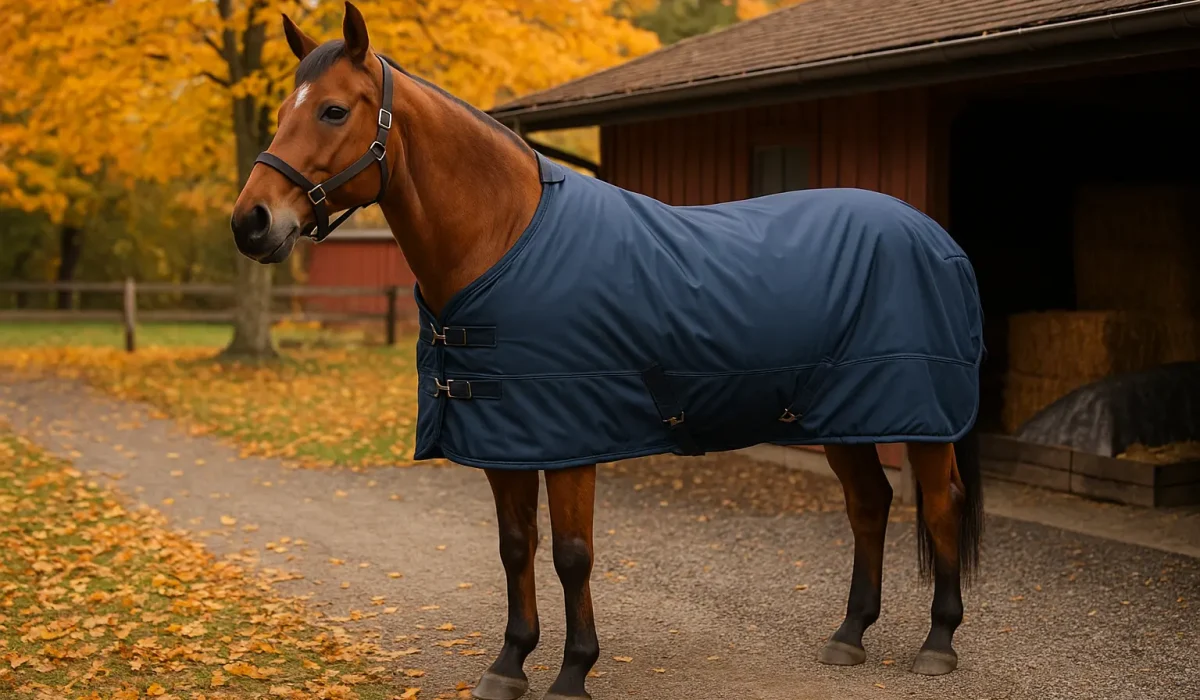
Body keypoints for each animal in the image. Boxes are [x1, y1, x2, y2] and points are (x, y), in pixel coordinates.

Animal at [231, 4, 985, 698]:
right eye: (281, 110)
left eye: (332, 111)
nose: (250, 223)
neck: (506, 239)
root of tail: (934, 236)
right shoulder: (506, 440)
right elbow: (515, 547)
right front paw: (510, 664)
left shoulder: (570, 438)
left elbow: (572, 554)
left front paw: (574, 670)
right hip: (841, 415)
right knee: (870, 504)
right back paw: (850, 634)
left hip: (918, 417)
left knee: (939, 501)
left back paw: (939, 641)